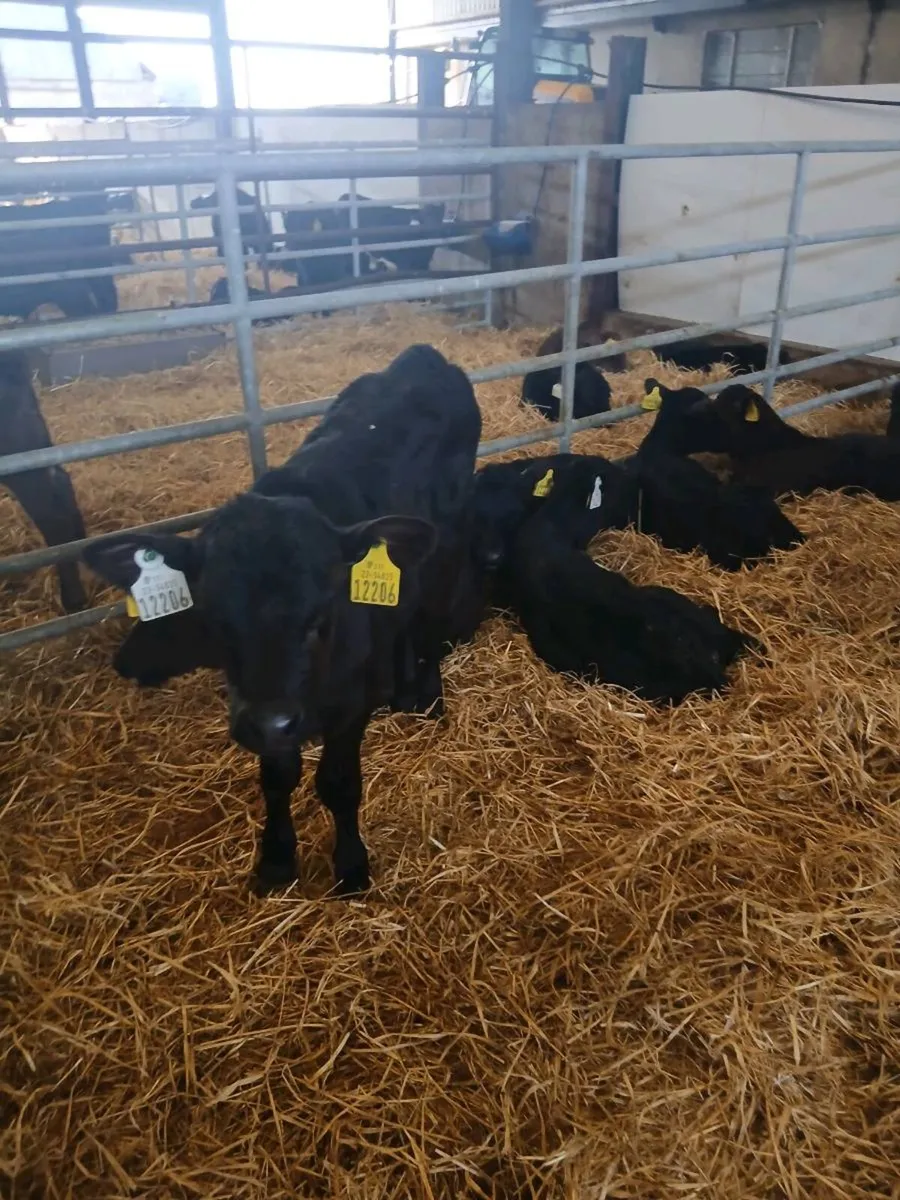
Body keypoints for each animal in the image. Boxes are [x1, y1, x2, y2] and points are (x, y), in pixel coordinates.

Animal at [83, 345, 485, 897]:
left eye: (321, 617)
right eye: (214, 619)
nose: (272, 721)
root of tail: (424, 356)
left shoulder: (349, 705)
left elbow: (338, 783)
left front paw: (351, 864)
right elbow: (277, 778)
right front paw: (275, 859)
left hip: (449, 545)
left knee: (427, 617)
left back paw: (424, 694)